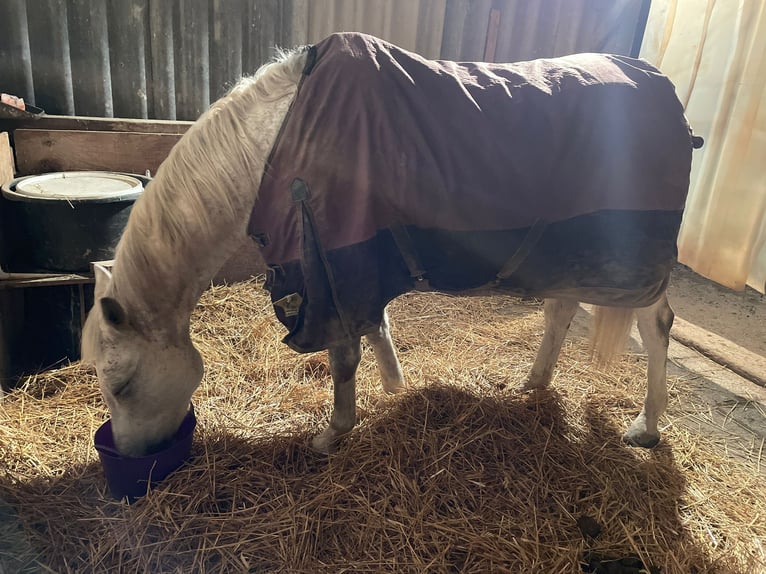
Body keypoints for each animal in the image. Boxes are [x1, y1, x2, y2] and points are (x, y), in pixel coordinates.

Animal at [82, 32, 700, 457]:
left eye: (123, 384)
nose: (129, 454)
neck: (270, 148)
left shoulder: (330, 270)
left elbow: (343, 355)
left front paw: (333, 434)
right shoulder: (353, 260)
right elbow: (375, 329)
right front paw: (393, 389)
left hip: (633, 262)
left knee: (657, 324)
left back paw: (646, 426)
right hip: (570, 251)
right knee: (562, 308)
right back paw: (533, 384)